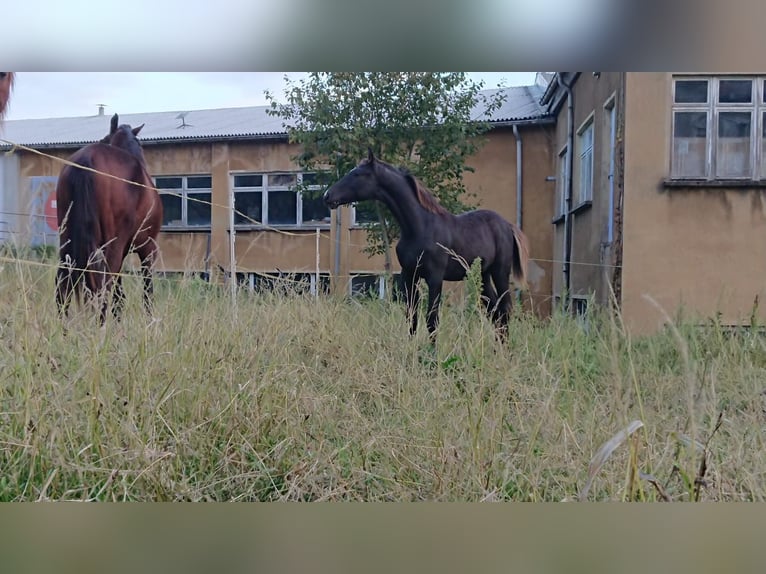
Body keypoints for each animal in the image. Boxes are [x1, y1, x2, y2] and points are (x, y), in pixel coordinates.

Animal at [56, 113, 163, 324]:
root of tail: (87, 160)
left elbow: (119, 296)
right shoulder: (147, 248)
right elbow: (147, 293)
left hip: (67, 242)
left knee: (63, 286)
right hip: (113, 246)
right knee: (104, 285)